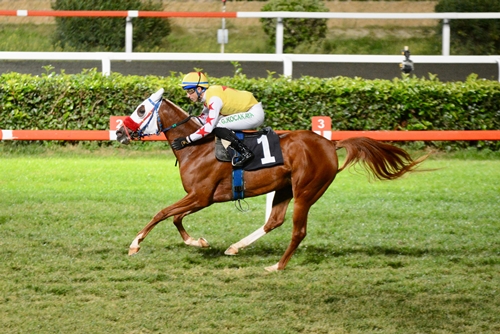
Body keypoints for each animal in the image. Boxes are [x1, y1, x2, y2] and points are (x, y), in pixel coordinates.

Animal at [117, 88, 426, 272]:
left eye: (141, 110)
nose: (120, 131)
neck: (197, 146)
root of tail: (330, 144)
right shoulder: (200, 197)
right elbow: (175, 218)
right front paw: (197, 242)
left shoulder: (201, 196)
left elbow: (162, 213)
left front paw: (135, 244)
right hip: (284, 188)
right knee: (274, 221)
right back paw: (236, 247)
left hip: (306, 191)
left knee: (298, 231)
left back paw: (277, 266)